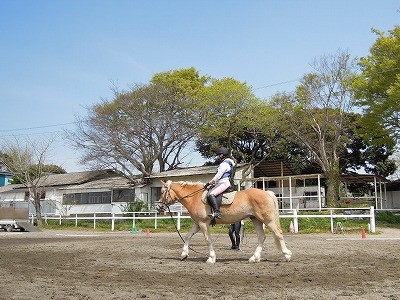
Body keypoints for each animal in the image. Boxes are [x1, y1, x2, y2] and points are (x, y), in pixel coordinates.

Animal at [158, 180, 292, 262]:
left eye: (162, 192)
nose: (159, 207)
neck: (195, 197)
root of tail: (266, 193)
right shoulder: (197, 223)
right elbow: (187, 236)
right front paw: (184, 254)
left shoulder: (203, 223)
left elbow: (208, 240)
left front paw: (211, 258)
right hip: (256, 220)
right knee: (261, 237)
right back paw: (254, 257)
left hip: (267, 220)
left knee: (278, 234)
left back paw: (287, 255)